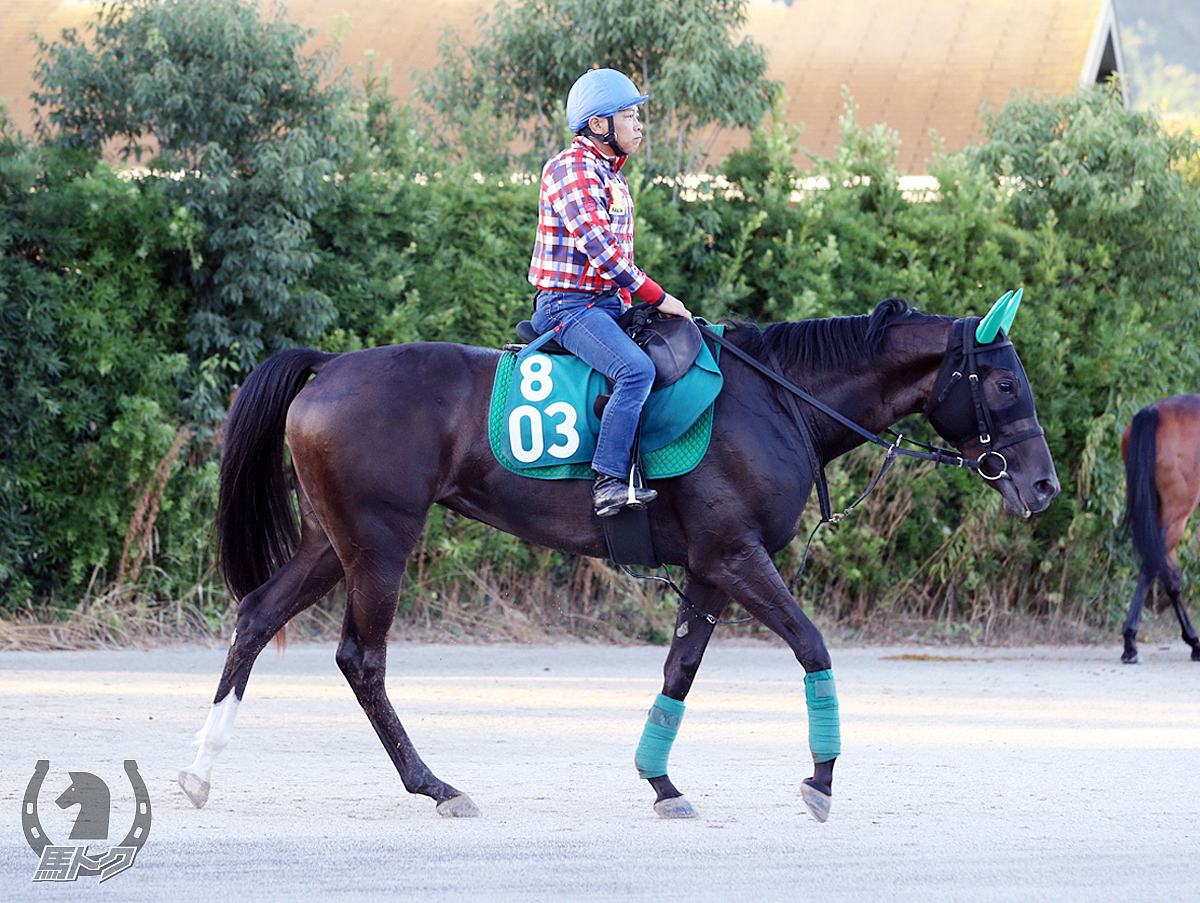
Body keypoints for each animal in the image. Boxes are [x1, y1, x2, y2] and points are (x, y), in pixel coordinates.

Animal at [177, 292, 1060, 821]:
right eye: (1005, 384)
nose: (1044, 485)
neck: (776, 400)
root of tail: (329, 366)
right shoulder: (737, 557)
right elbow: (812, 645)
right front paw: (821, 778)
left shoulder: (709, 569)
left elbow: (679, 672)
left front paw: (661, 781)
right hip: (379, 542)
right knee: (361, 658)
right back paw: (436, 785)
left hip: (332, 540)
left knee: (255, 616)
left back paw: (201, 768)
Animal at [1113, 393, 1200, 662]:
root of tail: (1154, 411)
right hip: (1179, 514)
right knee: (1154, 566)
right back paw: (1130, 644)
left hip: (1164, 513)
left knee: (1170, 575)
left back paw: (1194, 642)